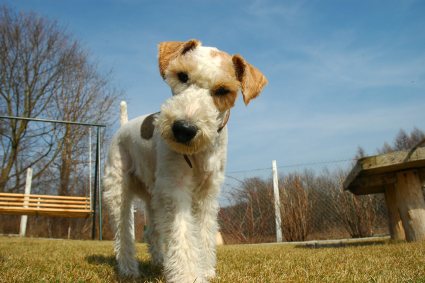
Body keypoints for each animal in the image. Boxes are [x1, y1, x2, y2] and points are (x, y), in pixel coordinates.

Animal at [103, 38, 266, 282]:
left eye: (223, 90)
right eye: (182, 76)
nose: (184, 129)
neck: (197, 154)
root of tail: (123, 126)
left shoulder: (207, 193)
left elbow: (204, 233)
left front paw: (205, 270)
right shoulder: (175, 188)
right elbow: (182, 235)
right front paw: (188, 275)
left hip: (153, 196)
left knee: (151, 232)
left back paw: (160, 261)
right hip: (118, 189)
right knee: (124, 232)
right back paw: (129, 269)